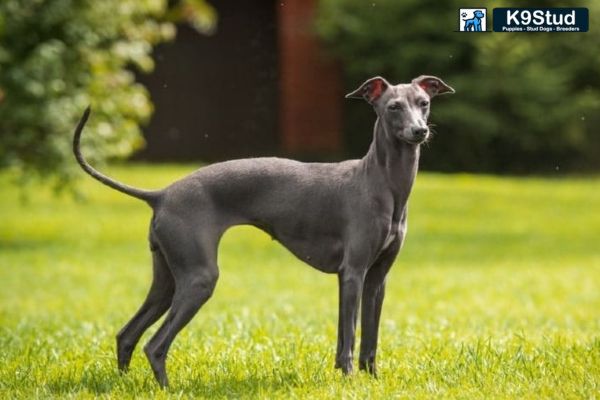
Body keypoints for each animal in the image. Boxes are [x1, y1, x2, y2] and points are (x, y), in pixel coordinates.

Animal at [71, 75, 454, 388]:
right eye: (393, 107)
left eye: (424, 102)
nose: (420, 131)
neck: (381, 183)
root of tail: (161, 194)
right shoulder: (353, 273)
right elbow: (348, 336)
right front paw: (348, 380)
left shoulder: (377, 279)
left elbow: (369, 338)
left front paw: (372, 379)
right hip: (198, 279)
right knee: (155, 344)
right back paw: (167, 388)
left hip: (167, 279)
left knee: (127, 334)